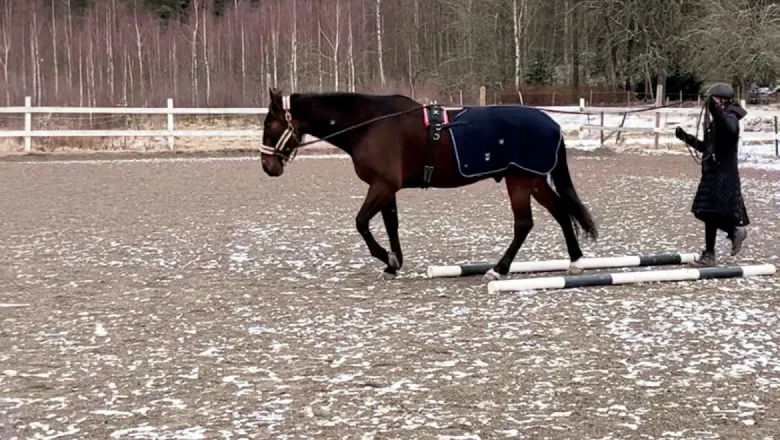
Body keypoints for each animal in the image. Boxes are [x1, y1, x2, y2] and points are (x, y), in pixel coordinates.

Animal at [259, 87, 598, 281]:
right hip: (534, 180)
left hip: (520, 181)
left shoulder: (382, 185)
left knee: (524, 224)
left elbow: (361, 222)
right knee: (561, 212)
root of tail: (552, 123)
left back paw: (499, 268)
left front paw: (386, 257)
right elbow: (391, 224)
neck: (370, 124)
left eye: (269, 124)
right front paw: (394, 263)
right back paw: (575, 262)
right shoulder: (387, 188)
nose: (267, 166)